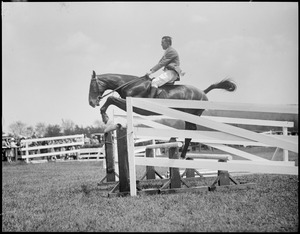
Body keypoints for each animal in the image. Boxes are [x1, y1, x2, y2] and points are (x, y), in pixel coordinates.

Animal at [89, 70, 237, 158]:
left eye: (92, 86)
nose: (91, 103)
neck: (128, 84)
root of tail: (203, 92)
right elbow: (111, 99)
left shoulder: (133, 105)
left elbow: (110, 98)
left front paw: (105, 117)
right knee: (189, 131)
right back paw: (179, 148)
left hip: (191, 115)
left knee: (190, 132)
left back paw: (182, 152)